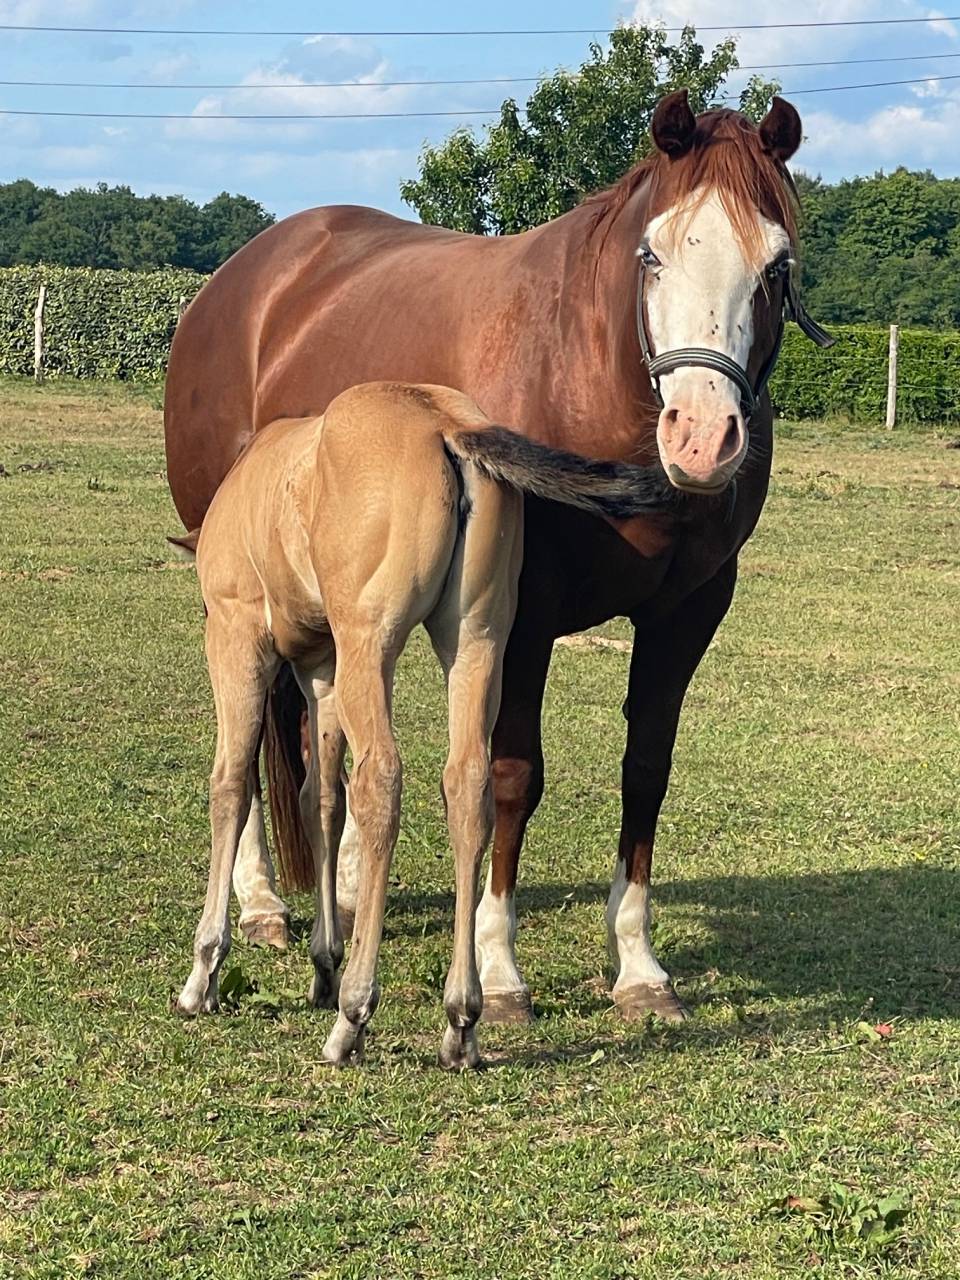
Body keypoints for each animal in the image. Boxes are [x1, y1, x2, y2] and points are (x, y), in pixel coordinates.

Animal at [172, 380, 681, 1066]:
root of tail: (446, 427)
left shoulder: (239, 634)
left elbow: (231, 784)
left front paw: (204, 972)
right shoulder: (324, 668)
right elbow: (320, 801)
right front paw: (323, 963)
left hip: (371, 642)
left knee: (381, 782)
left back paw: (354, 1017)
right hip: (475, 640)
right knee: (467, 785)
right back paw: (461, 1018)